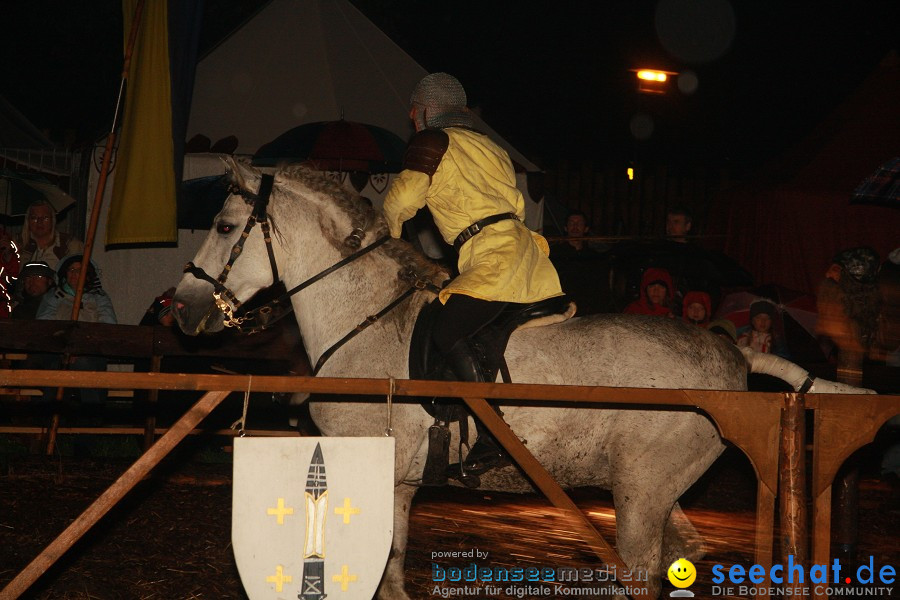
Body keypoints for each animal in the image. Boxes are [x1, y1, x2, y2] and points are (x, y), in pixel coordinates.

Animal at [174, 161, 852, 600]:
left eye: (226, 228)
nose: (178, 308)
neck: (367, 319)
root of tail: (734, 354)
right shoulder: (399, 481)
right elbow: (391, 569)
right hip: (660, 490)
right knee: (682, 554)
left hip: (639, 492)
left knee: (639, 570)